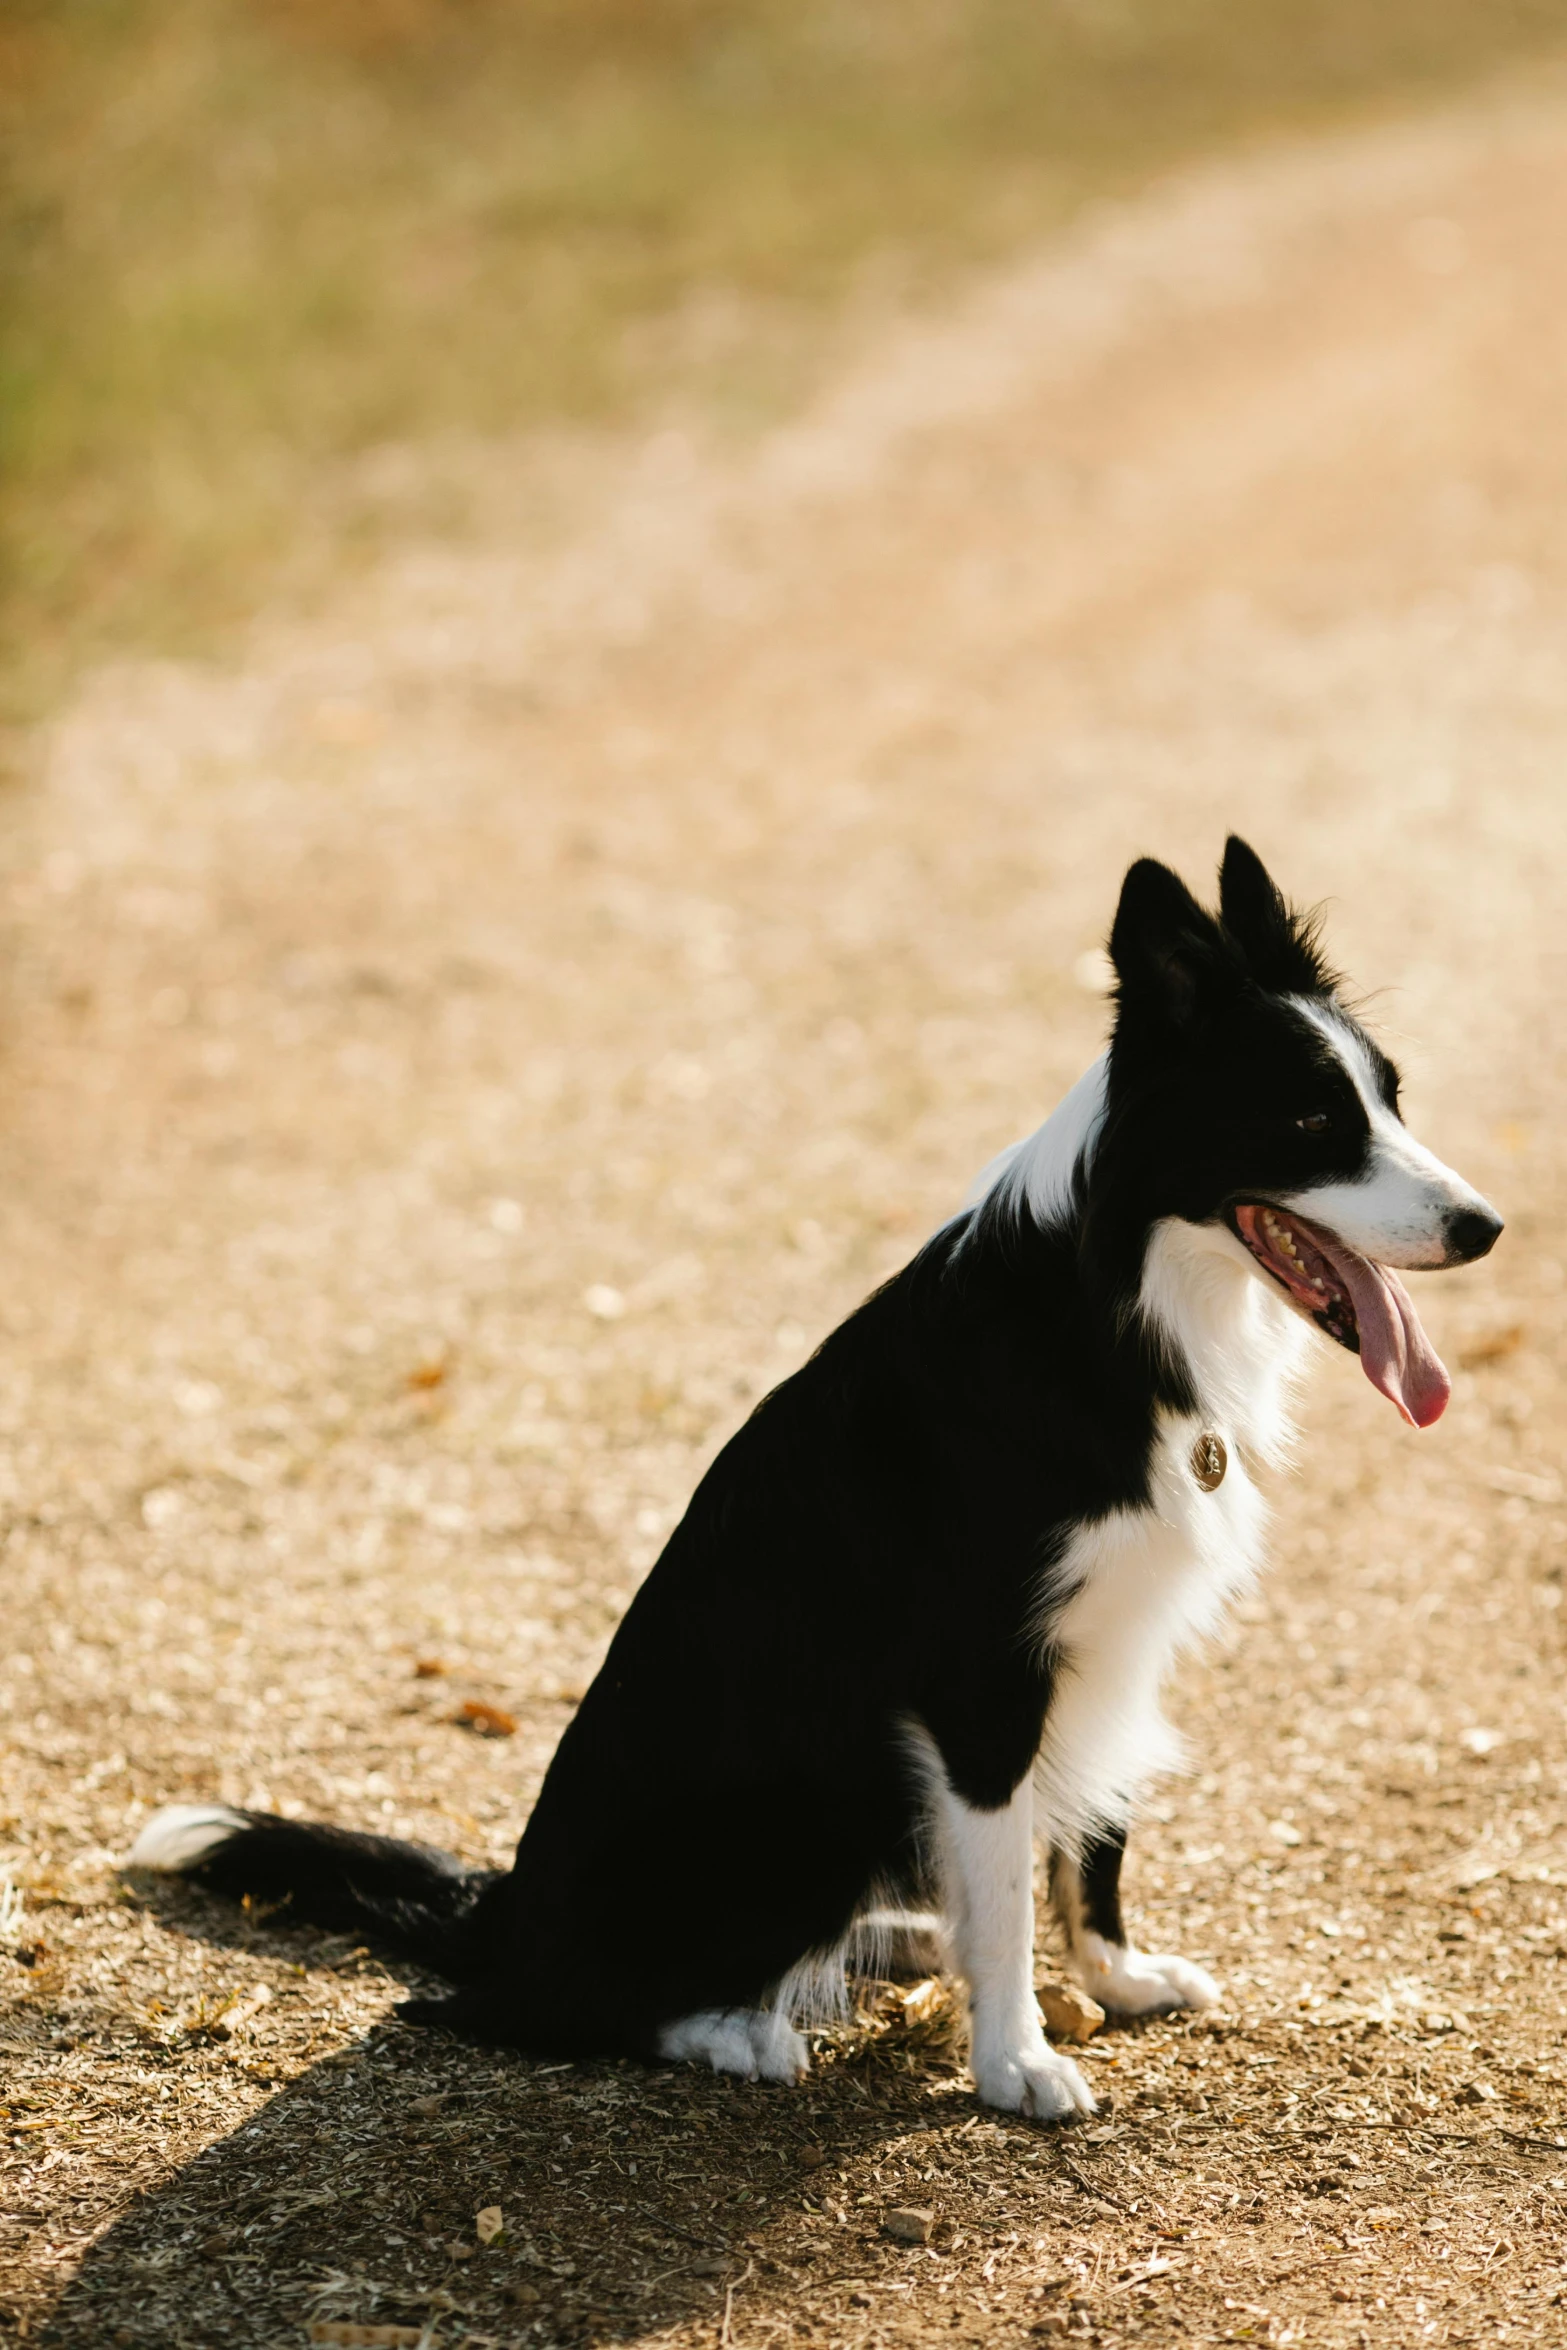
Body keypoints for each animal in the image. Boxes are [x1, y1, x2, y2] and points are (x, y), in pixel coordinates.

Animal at [128, 836, 1503, 2124]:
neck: (1110, 1306)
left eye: (1391, 1099)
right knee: (557, 2006)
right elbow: (1013, 1882)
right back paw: (742, 2026)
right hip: (793, 1804)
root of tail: (504, 1909)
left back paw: (894, 1936)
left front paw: (1114, 1979)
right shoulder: (980, 1682)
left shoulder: (1117, 1642)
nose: (1485, 1226)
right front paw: (1015, 2061)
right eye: (1310, 1123)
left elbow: (1089, 1839)